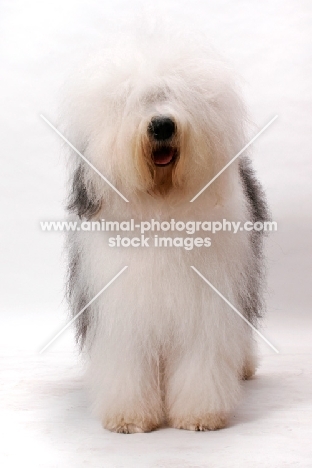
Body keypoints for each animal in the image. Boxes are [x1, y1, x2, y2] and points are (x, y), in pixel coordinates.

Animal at [62, 28, 268, 432]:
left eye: (176, 95)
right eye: (134, 101)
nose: (161, 125)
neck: (161, 207)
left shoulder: (208, 302)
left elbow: (202, 358)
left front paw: (200, 414)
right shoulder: (122, 306)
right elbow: (127, 360)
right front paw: (128, 417)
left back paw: (244, 367)